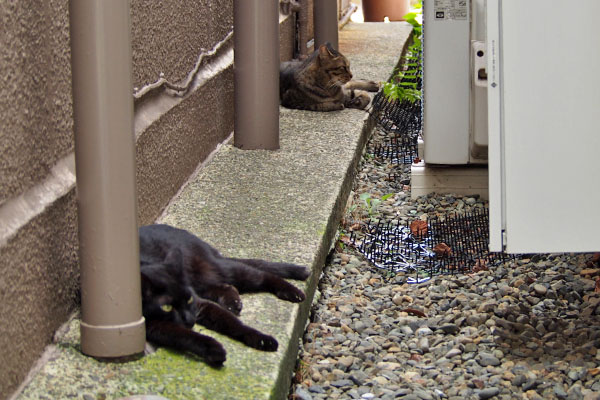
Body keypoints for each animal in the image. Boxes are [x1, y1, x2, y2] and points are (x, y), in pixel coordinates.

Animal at [139, 223, 310, 368]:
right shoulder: (153, 325)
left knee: (260, 274)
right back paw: (232, 303)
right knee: (227, 286)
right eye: (167, 307)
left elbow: (232, 323)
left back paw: (294, 290)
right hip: (202, 282)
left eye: (188, 299)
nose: (190, 319)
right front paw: (214, 349)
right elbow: (183, 335)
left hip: (212, 270)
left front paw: (262, 339)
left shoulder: (200, 304)